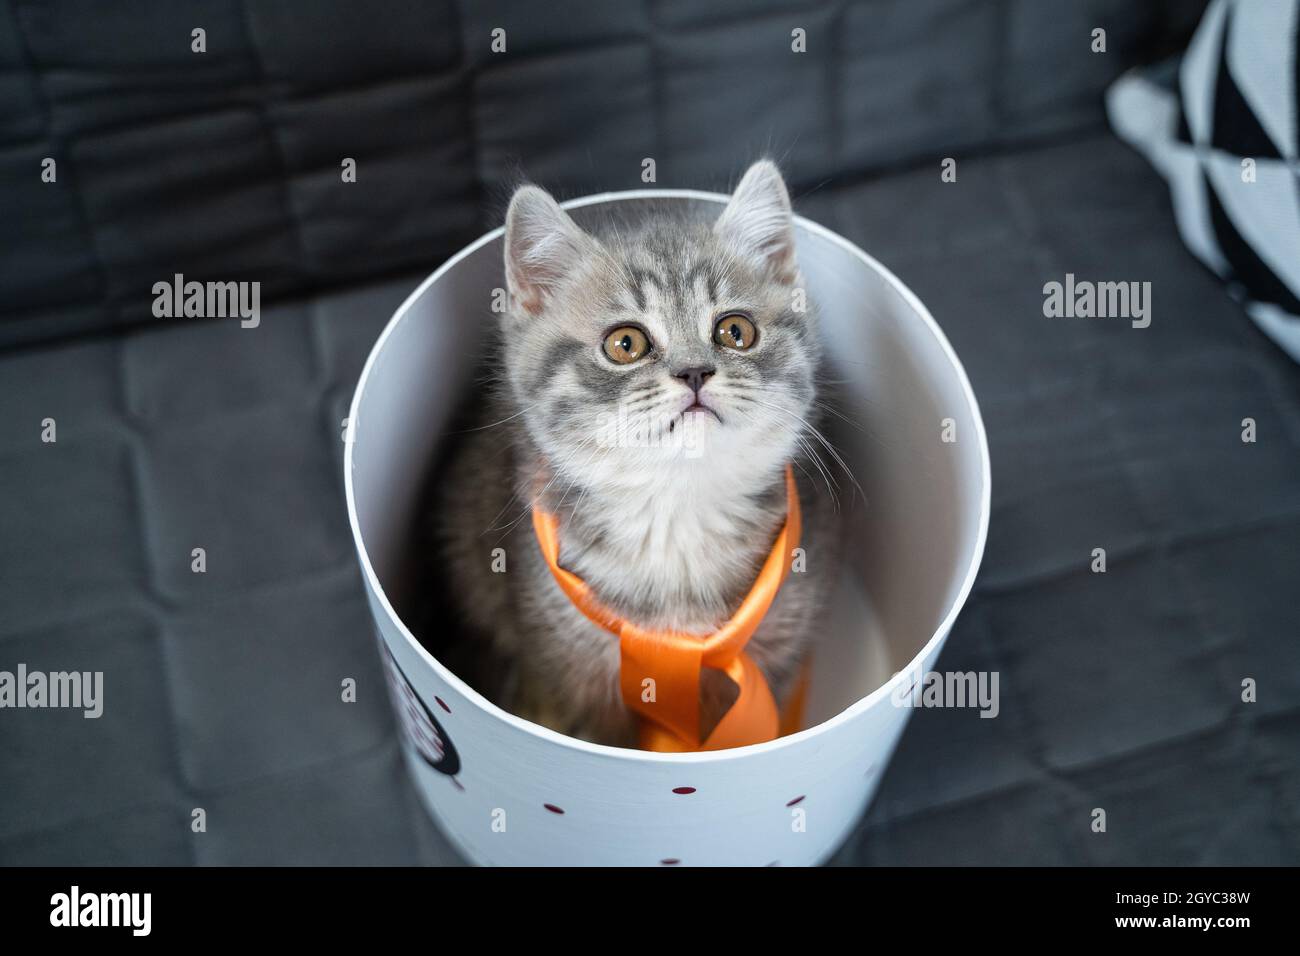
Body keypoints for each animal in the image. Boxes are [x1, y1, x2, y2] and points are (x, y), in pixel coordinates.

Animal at [434, 160, 842, 749]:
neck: (676, 516)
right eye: (625, 343)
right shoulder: (563, 666)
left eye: (735, 331)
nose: (694, 371)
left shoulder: (780, 650)